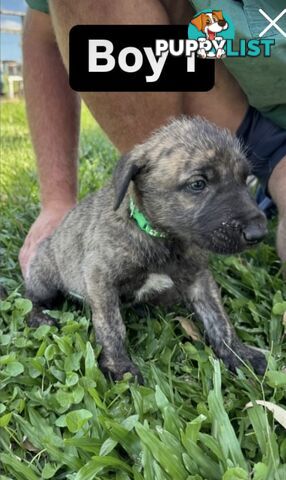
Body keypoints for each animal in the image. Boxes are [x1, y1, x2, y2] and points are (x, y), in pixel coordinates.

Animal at [25, 116, 268, 378]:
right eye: (198, 184)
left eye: (245, 179)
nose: (258, 233)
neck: (162, 238)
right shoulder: (100, 279)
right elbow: (111, 326)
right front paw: (119, 366)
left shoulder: (198, 279)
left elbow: (218, 318)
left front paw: (239, 354)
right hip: (45, 277)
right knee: (29, 298)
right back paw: (39, 318)